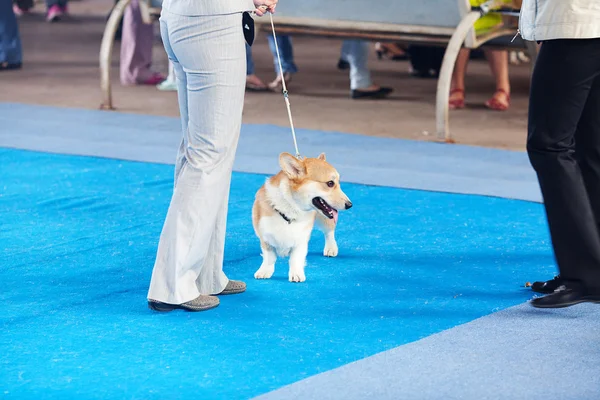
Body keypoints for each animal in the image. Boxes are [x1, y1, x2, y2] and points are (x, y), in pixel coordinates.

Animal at [252, 152, 352, 282]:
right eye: (330, 183)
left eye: (339, 183)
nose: (350, 205)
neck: (290, 208)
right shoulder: (265, 237)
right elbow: (269, 257)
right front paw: (264, 271)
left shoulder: (301, 239)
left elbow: (295, 258)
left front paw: (296, 274)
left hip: (325, 219)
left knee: (329, 232)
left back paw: (331, 248)